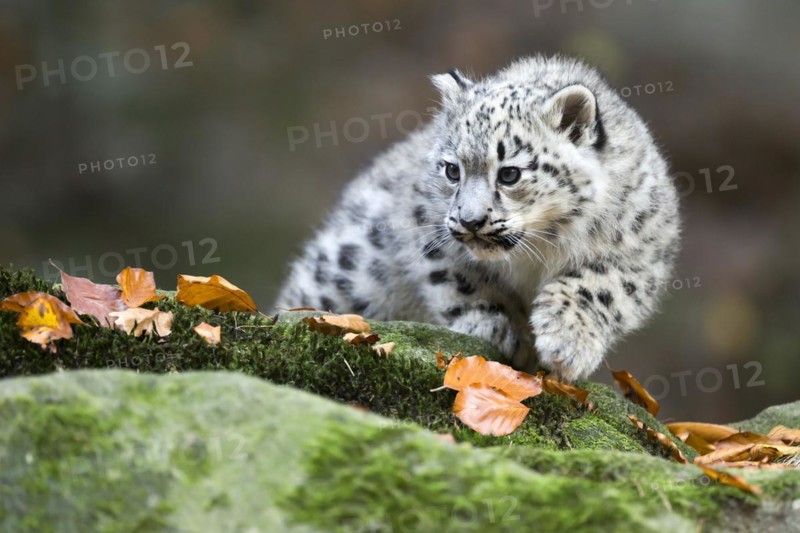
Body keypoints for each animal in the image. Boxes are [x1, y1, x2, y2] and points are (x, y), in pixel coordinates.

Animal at [276, 55, 680, 382]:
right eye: (452, 170)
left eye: (510, 174)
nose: (470, 221)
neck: (540, 248)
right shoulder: (428, 224)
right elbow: (457, 276)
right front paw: (493, 327)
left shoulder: (642, 255)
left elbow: (601, 287)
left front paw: (568, 342)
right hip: (350, 268)